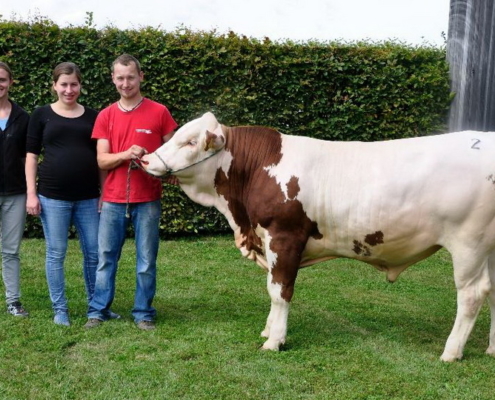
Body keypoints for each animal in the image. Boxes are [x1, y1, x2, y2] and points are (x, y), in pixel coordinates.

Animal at [140, 112, 495, 362]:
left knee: (472, 294)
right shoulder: (269, 241)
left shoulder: (284, 236)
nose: (144, 159)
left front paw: (275, 340)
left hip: (469, 243)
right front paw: (268, 330)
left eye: (189, 142)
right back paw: (491, 349)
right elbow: (272, 287)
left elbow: (280, 290)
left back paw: (451, 352)